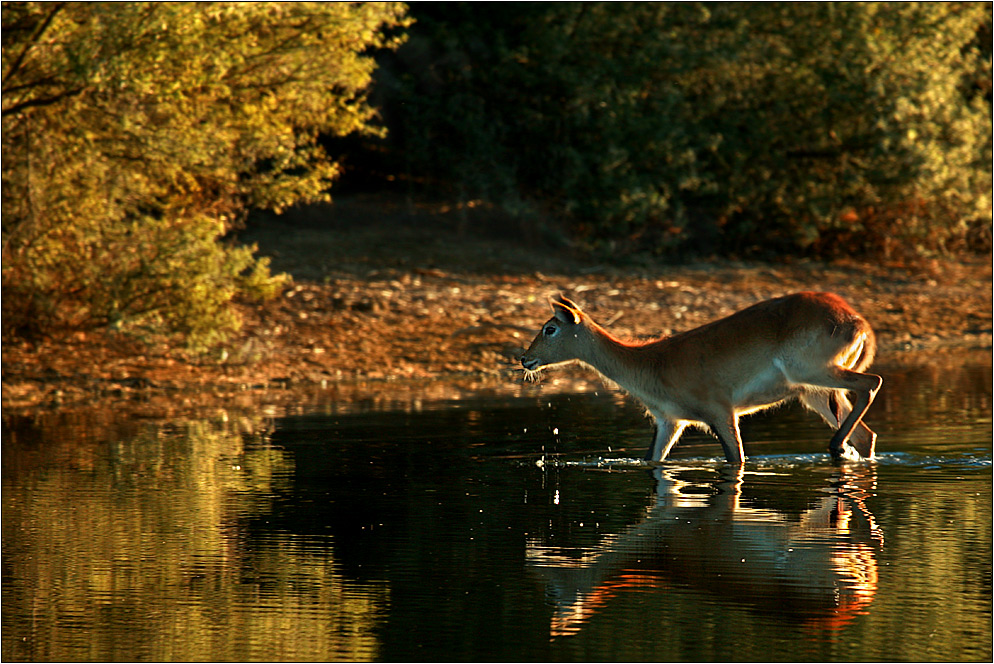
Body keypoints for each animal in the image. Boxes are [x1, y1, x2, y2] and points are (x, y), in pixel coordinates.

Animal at [516, 294, 880, 464]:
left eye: (550, 328)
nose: (524, 359)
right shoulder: (670, 423)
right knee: (867, 435)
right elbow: (652, 459)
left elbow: (737, 460)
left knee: (872, 382)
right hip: (815, 392)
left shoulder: (721, 413)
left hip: (814, 373)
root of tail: (856, 320)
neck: (652, 362)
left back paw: (836, 446)